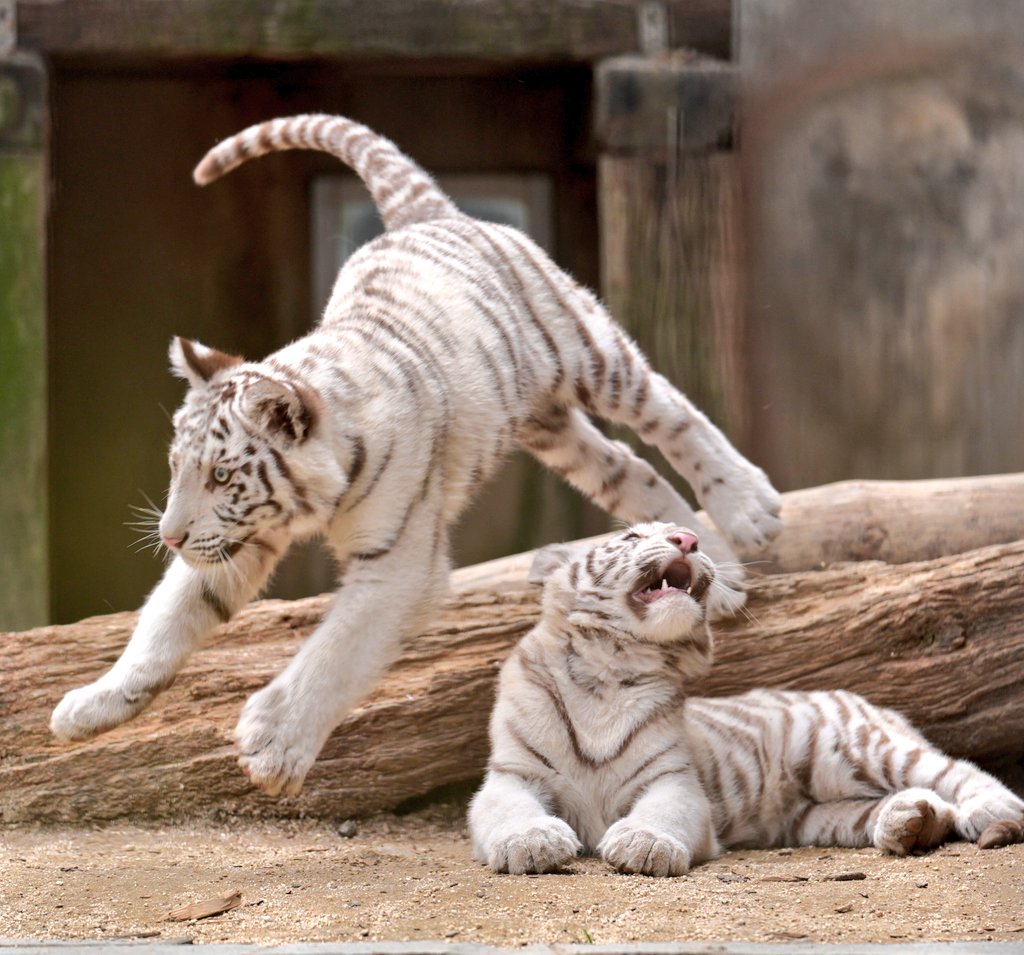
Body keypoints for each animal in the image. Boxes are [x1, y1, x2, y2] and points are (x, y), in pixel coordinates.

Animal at [49, 111, 782, 798]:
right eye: (177, 469)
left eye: (222, 474)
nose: (169, 536)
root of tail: (428, 215)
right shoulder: (236, 543)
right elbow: (166, 620)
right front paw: (92, 704)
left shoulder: (397, 564)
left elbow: (336, 650)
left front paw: (274, 745)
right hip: (543, 422)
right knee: (627, 466)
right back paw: (716, 569)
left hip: (588, 352)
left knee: (674, 415)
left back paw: (748, 515)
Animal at [468, 524, 1024, 876]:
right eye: (631, 537)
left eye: (682, 533)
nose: (687, 539)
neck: (610, 667)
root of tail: (876, 706)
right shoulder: (513, 773)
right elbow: (506, 809)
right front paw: (532, 843)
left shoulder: (673, 777)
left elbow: (663, 811)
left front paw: (644, 845)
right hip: (817, 811)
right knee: (899, 806)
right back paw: (911, 822)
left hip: (858, 748)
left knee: (957, 771)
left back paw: (990, 811)